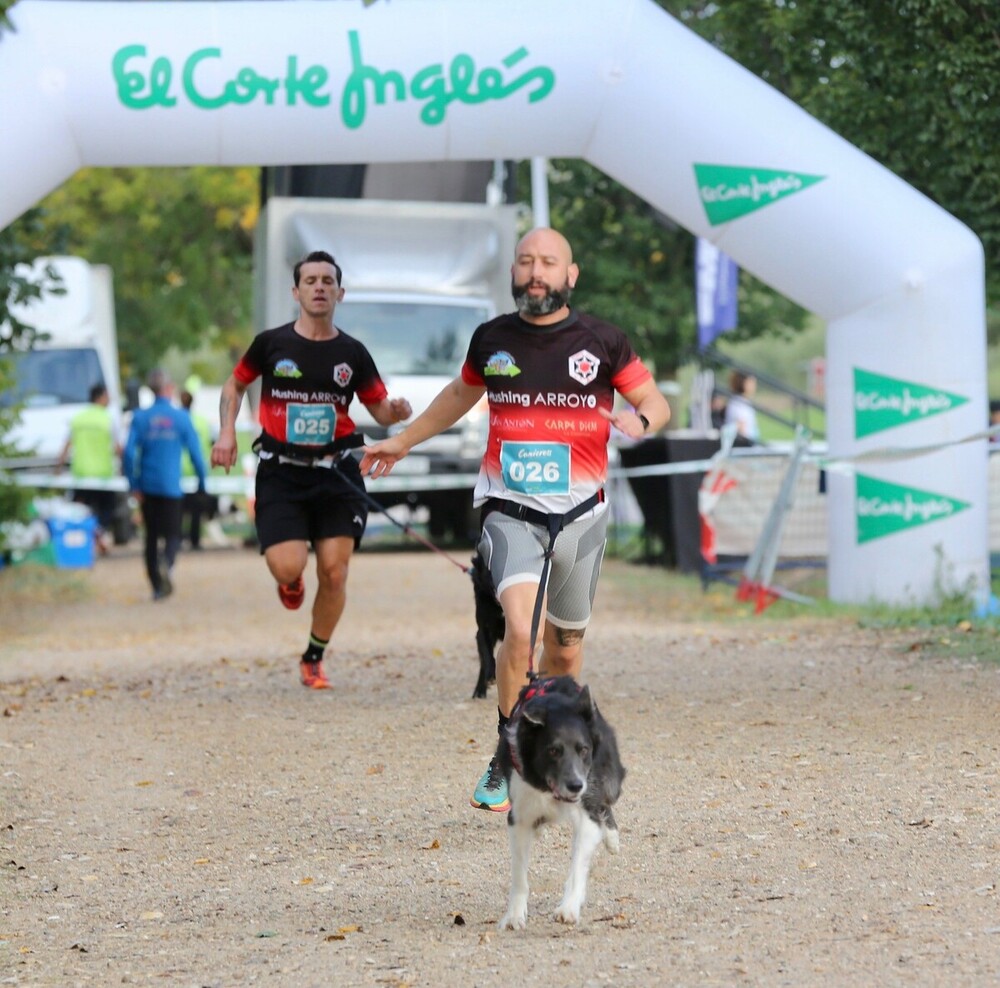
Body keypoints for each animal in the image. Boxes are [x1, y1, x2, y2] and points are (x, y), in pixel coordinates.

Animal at [494, 672, 624, 928]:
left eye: (584, 749)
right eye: (553, 751)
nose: (576, 785)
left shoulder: (587, 813)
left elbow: (577, 867)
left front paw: (568, 909)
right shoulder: (519, 818)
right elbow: (519, 874)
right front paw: (514, 915)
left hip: (610, 777)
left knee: (606, 803)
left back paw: (612, 838)